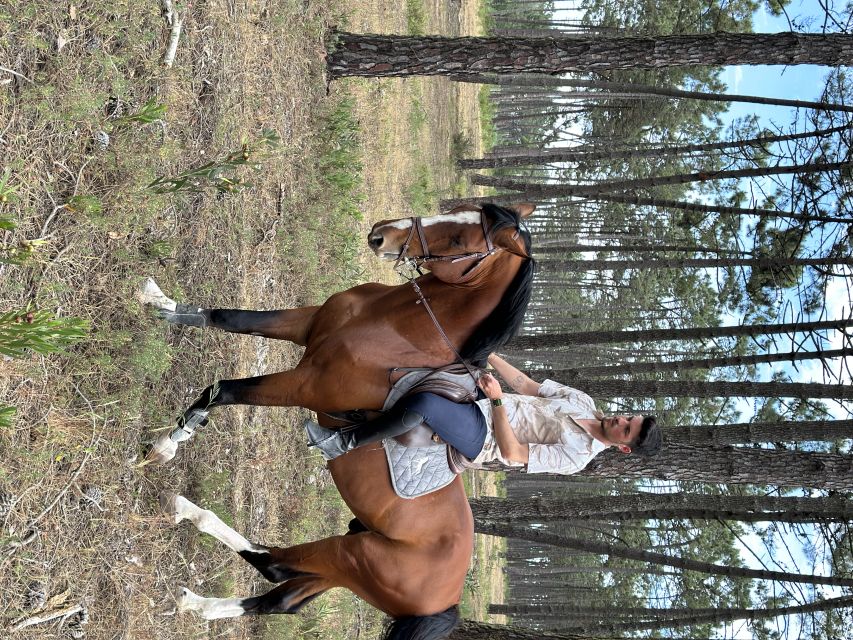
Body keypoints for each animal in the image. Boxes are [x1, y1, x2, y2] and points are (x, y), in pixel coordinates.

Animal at [142, 203, 535, 639]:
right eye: (455, 208)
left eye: (458, 241)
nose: (382, 234)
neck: (393, 327)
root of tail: (447, 599)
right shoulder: (305, 324)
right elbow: (228, 317)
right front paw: (160, 302)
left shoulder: (305, 385)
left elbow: (221, 391)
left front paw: (168, 444)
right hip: (347, 571)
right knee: (284, 599)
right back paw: (199, 605)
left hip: (353, 555)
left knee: (274, 565)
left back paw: (188, 512)